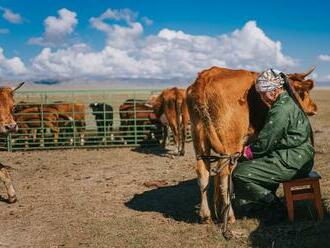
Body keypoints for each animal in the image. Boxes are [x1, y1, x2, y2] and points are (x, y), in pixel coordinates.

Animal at [186, 66, 318, 227]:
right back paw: (230, 216)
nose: (314, 107)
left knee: (203, 172)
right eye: (304, 93)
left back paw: (206, 216)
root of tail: (206, 76)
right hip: (230, 144)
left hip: (200, 141)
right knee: (224, 174)